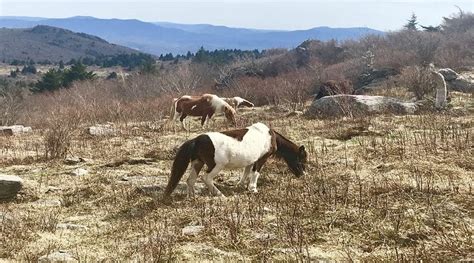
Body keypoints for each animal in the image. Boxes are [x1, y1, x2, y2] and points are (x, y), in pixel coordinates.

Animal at [164, 122, 308, 199]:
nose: (303, 175)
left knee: (191, 180)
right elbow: (255, 173)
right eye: (302, 160)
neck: (269, 136)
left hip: (197, 163)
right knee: (206, 178)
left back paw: (192, 197)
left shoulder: (251, 160)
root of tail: (196, 140)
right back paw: (220, 195)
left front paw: (240, 185)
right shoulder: (261, 159)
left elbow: (246, 172)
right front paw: (253, 189)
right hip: (215, 166)